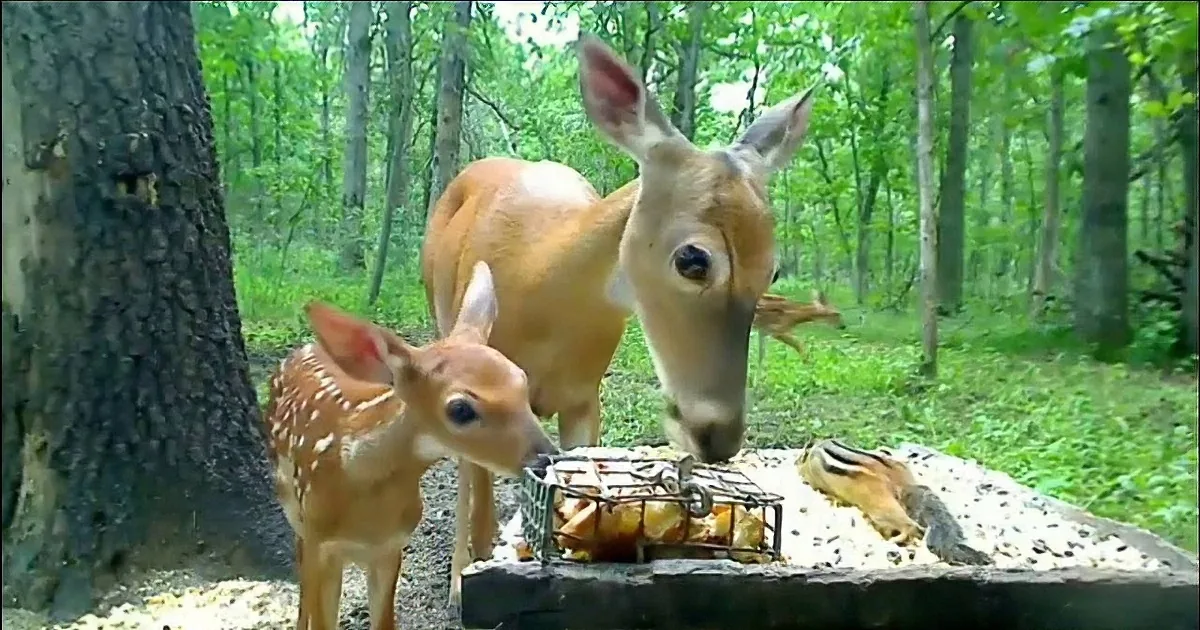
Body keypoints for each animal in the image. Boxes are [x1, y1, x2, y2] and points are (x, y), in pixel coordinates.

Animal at [263, 262, 557, 630]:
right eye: (460, 409)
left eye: (522, 380)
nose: (546, 458)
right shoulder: (320, 539)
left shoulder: (392, 545)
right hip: (294, 510)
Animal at [421, 34, 817, 604]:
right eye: (692, 259)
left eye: (773, 269)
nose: (718, 436)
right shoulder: (471, 379)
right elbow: (472, 489)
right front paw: (461, 581)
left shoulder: (586, 397)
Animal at [797, 439, 992, 566]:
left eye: (799, 458)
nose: (796, 463)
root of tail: (904, 485)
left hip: (881, 509)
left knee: (913, 527)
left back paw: (892, 541)